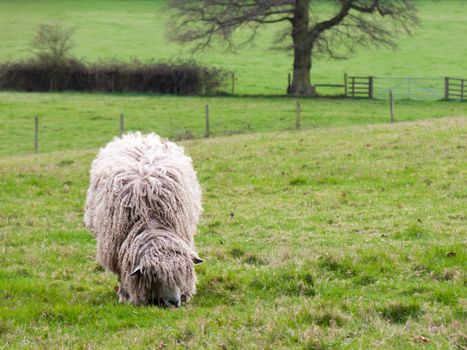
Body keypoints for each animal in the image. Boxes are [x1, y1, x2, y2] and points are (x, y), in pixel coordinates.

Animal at [83, 133, 203, 308]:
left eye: (182, 273)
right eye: (154, 275)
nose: (174, 302)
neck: (150, 218)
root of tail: (138, 136)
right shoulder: (118, 251)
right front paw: (124, 295)